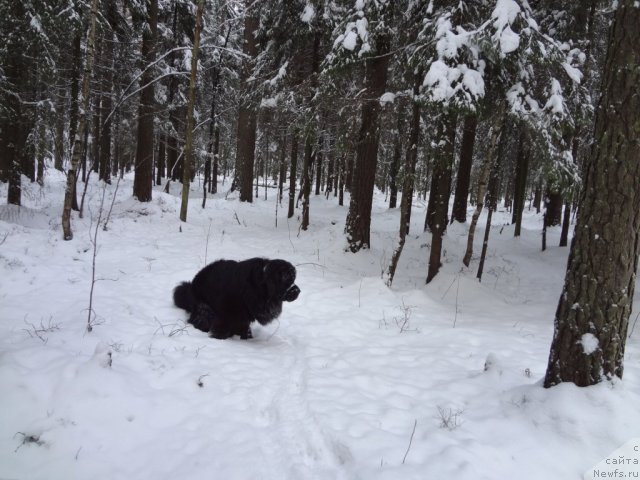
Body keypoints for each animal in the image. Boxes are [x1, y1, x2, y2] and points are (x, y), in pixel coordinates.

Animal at [174, 256, 302, 340]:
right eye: (285, 278)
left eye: (293, 278)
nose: (297, 290)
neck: (259, 286)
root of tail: (192, 284)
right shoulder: (225, 312)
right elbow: (222, 327)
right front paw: (219, 338)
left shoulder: (245, 315)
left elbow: (244, 327)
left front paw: (246, 337)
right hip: (204, 308)